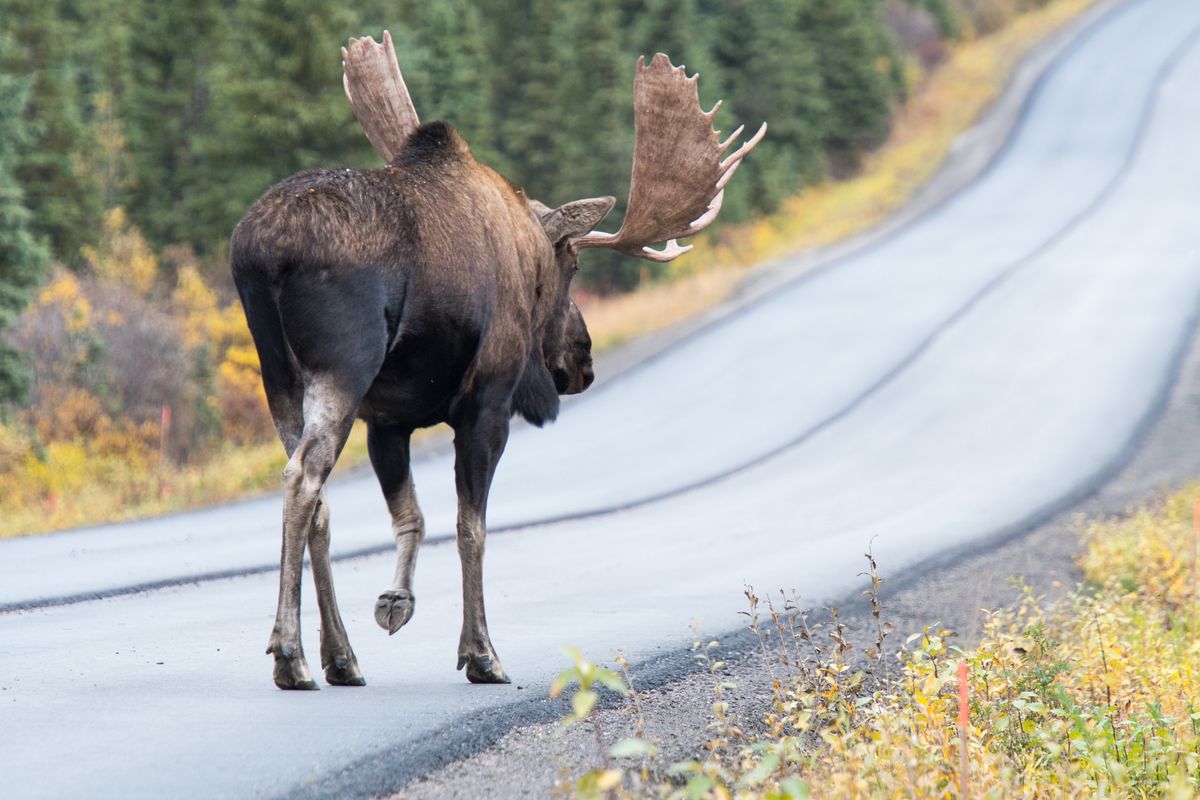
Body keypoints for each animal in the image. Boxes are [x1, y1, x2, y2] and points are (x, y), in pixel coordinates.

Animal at [229, 32, 763, 690]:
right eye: (573, 265)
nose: (583, 360)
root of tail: (260, 253)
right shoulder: (488, 402)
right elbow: (471, 526)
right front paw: (481, 652)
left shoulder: (388, 420)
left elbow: (412, 516)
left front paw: (396, 601)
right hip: (343, 366)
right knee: (304, 477)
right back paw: (291, 654)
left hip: (277, 375)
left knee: (318, 496)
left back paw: (340, 656)